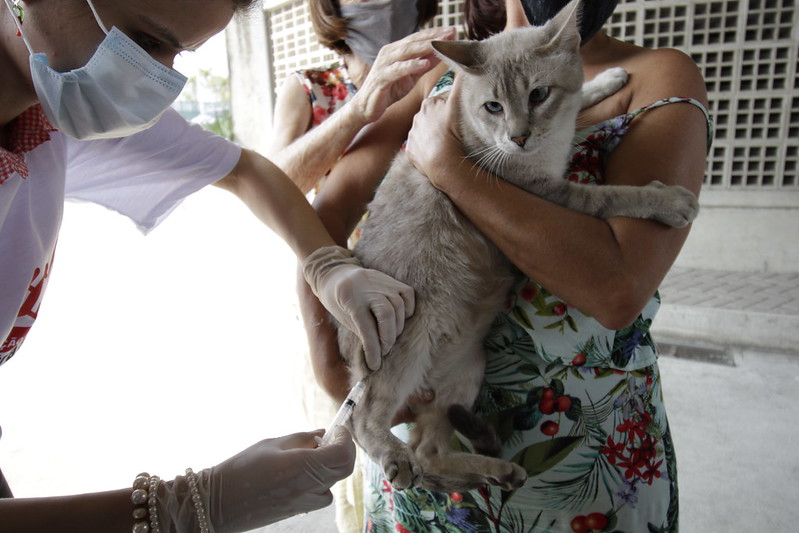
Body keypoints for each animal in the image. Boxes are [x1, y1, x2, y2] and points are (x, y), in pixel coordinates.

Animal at [334, 0, 696, 490]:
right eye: (493, 106)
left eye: (538, 95)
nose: (519, 136)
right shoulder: (550, 193)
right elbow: (615, 195)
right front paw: (669, 201)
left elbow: (581, 98)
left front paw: (608, 79)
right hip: (408, 340)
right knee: (365, 421)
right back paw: (399, 459)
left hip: (467, 369)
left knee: (431, 450)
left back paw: (499, 471)